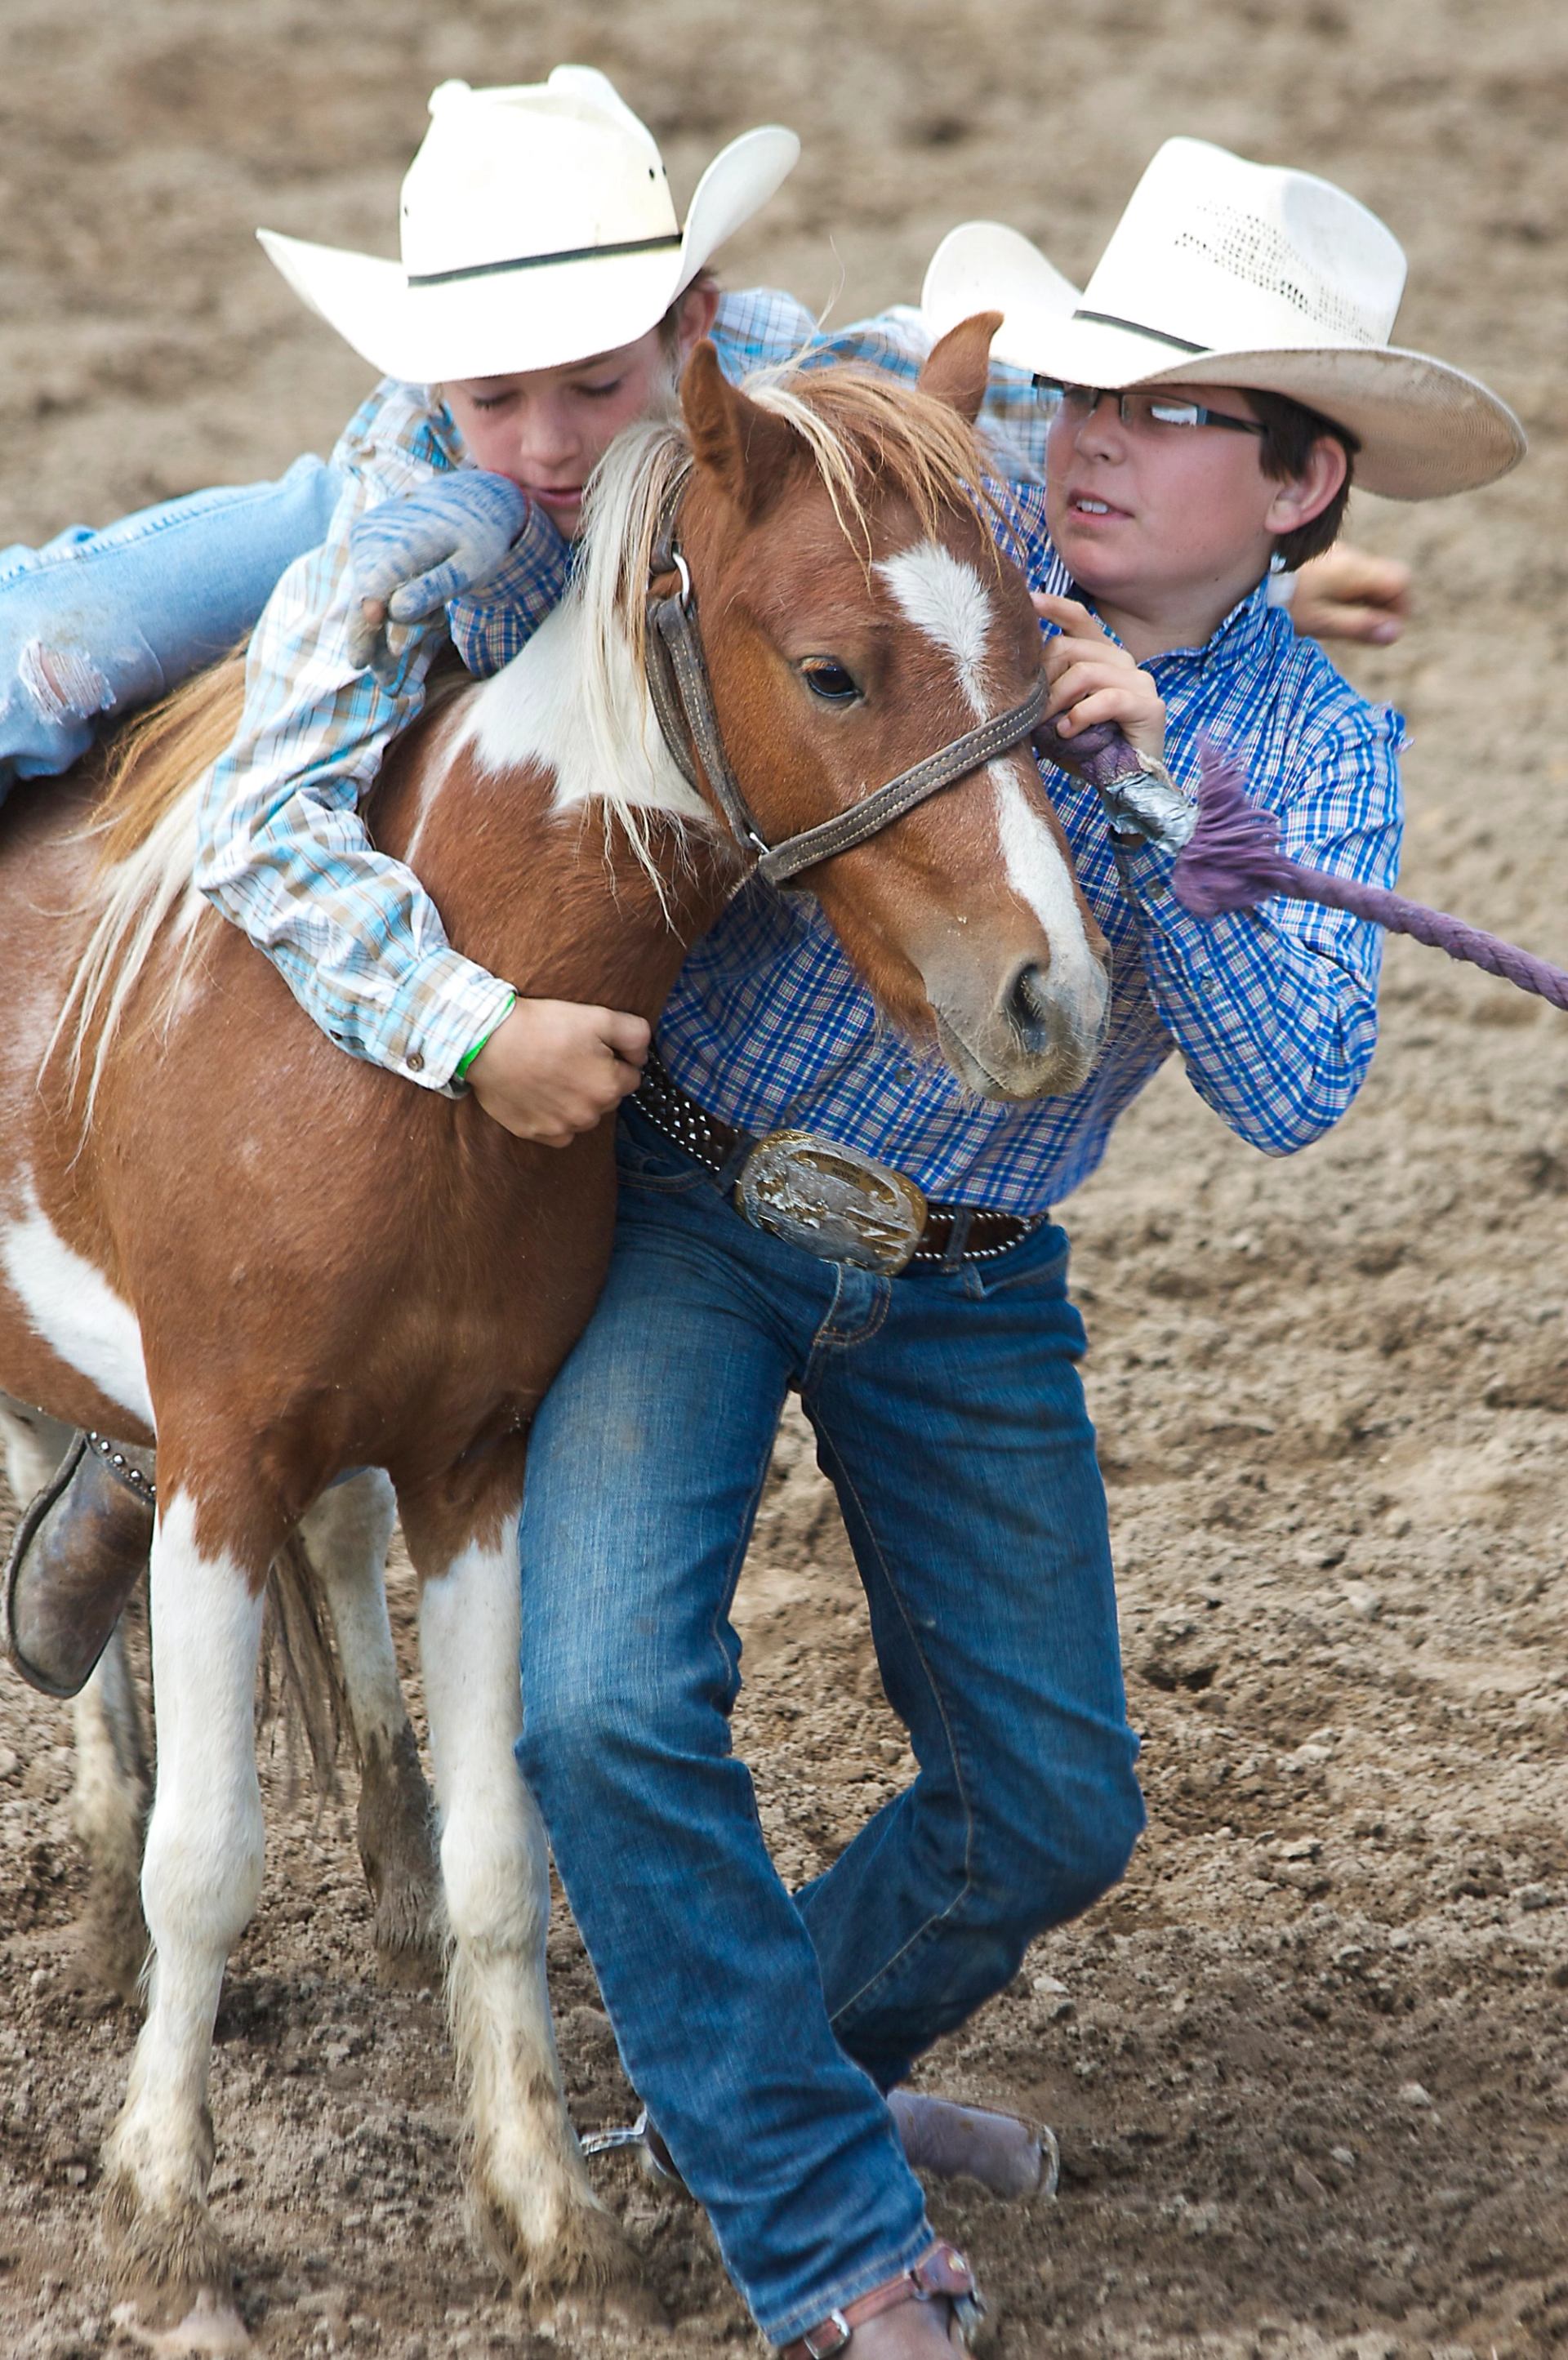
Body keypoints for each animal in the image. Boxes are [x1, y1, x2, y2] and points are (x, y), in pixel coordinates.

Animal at [0, 314, 1112, 2335]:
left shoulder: (480, 1457)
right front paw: (167, 2221)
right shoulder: (215, 1458)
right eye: (833, 668)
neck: (429, 1029)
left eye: (1035, 635)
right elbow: (213, 1854)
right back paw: (105, 1886)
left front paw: (546, 2210)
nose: (1049, 996)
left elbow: (505, 1856)